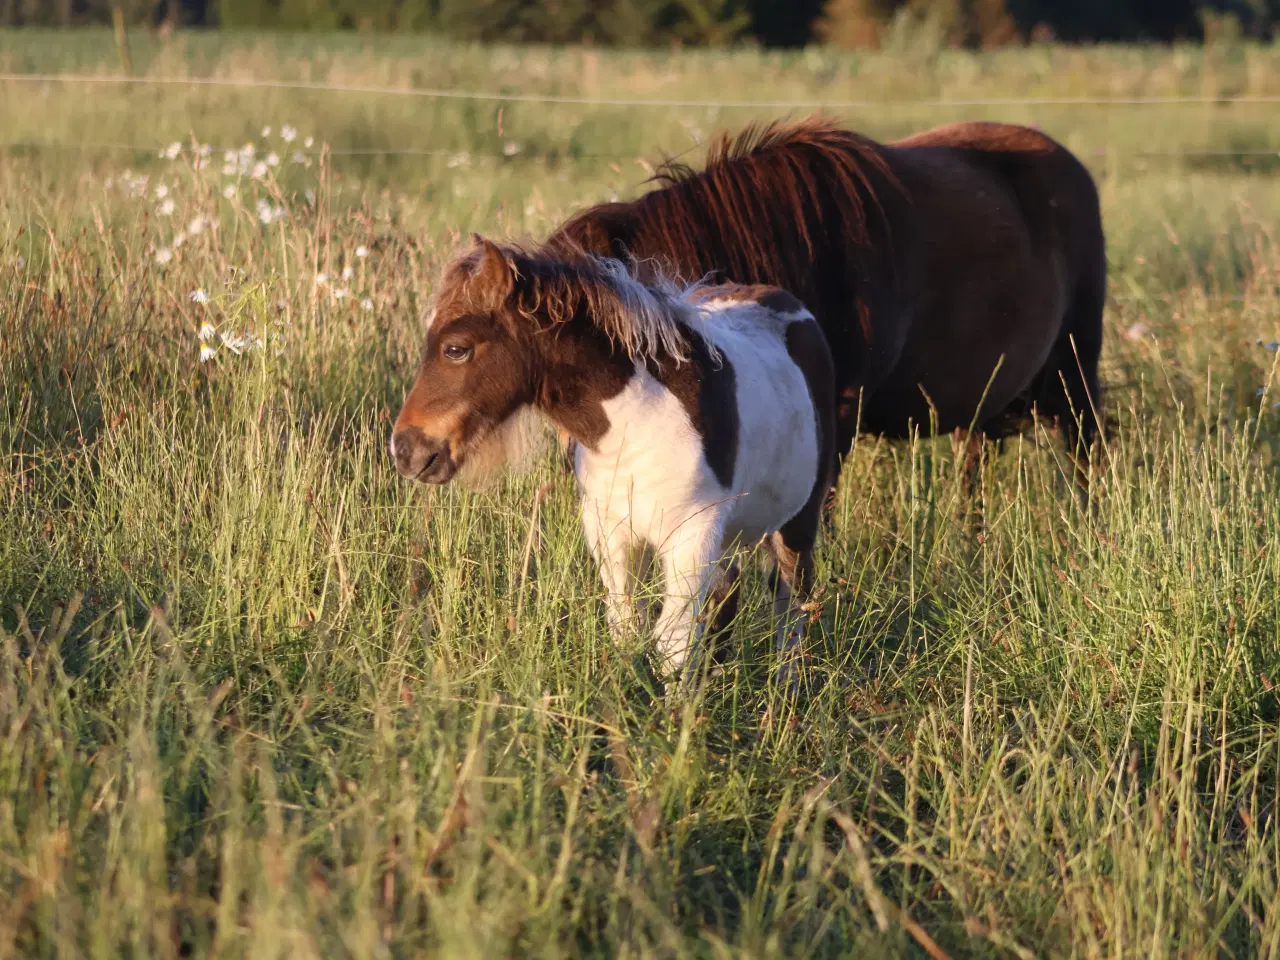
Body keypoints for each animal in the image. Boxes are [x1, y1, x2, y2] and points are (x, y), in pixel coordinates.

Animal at [386, 236, 839, 686]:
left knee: (790, 600)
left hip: (796, 520)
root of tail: (790, 306)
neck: (638, 421)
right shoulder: (610, 531)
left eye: (456, 349)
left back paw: (785, 689)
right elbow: (626, 627)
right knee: (726, 599)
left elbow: (672, 645)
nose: (404, 449)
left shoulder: (691, 535)